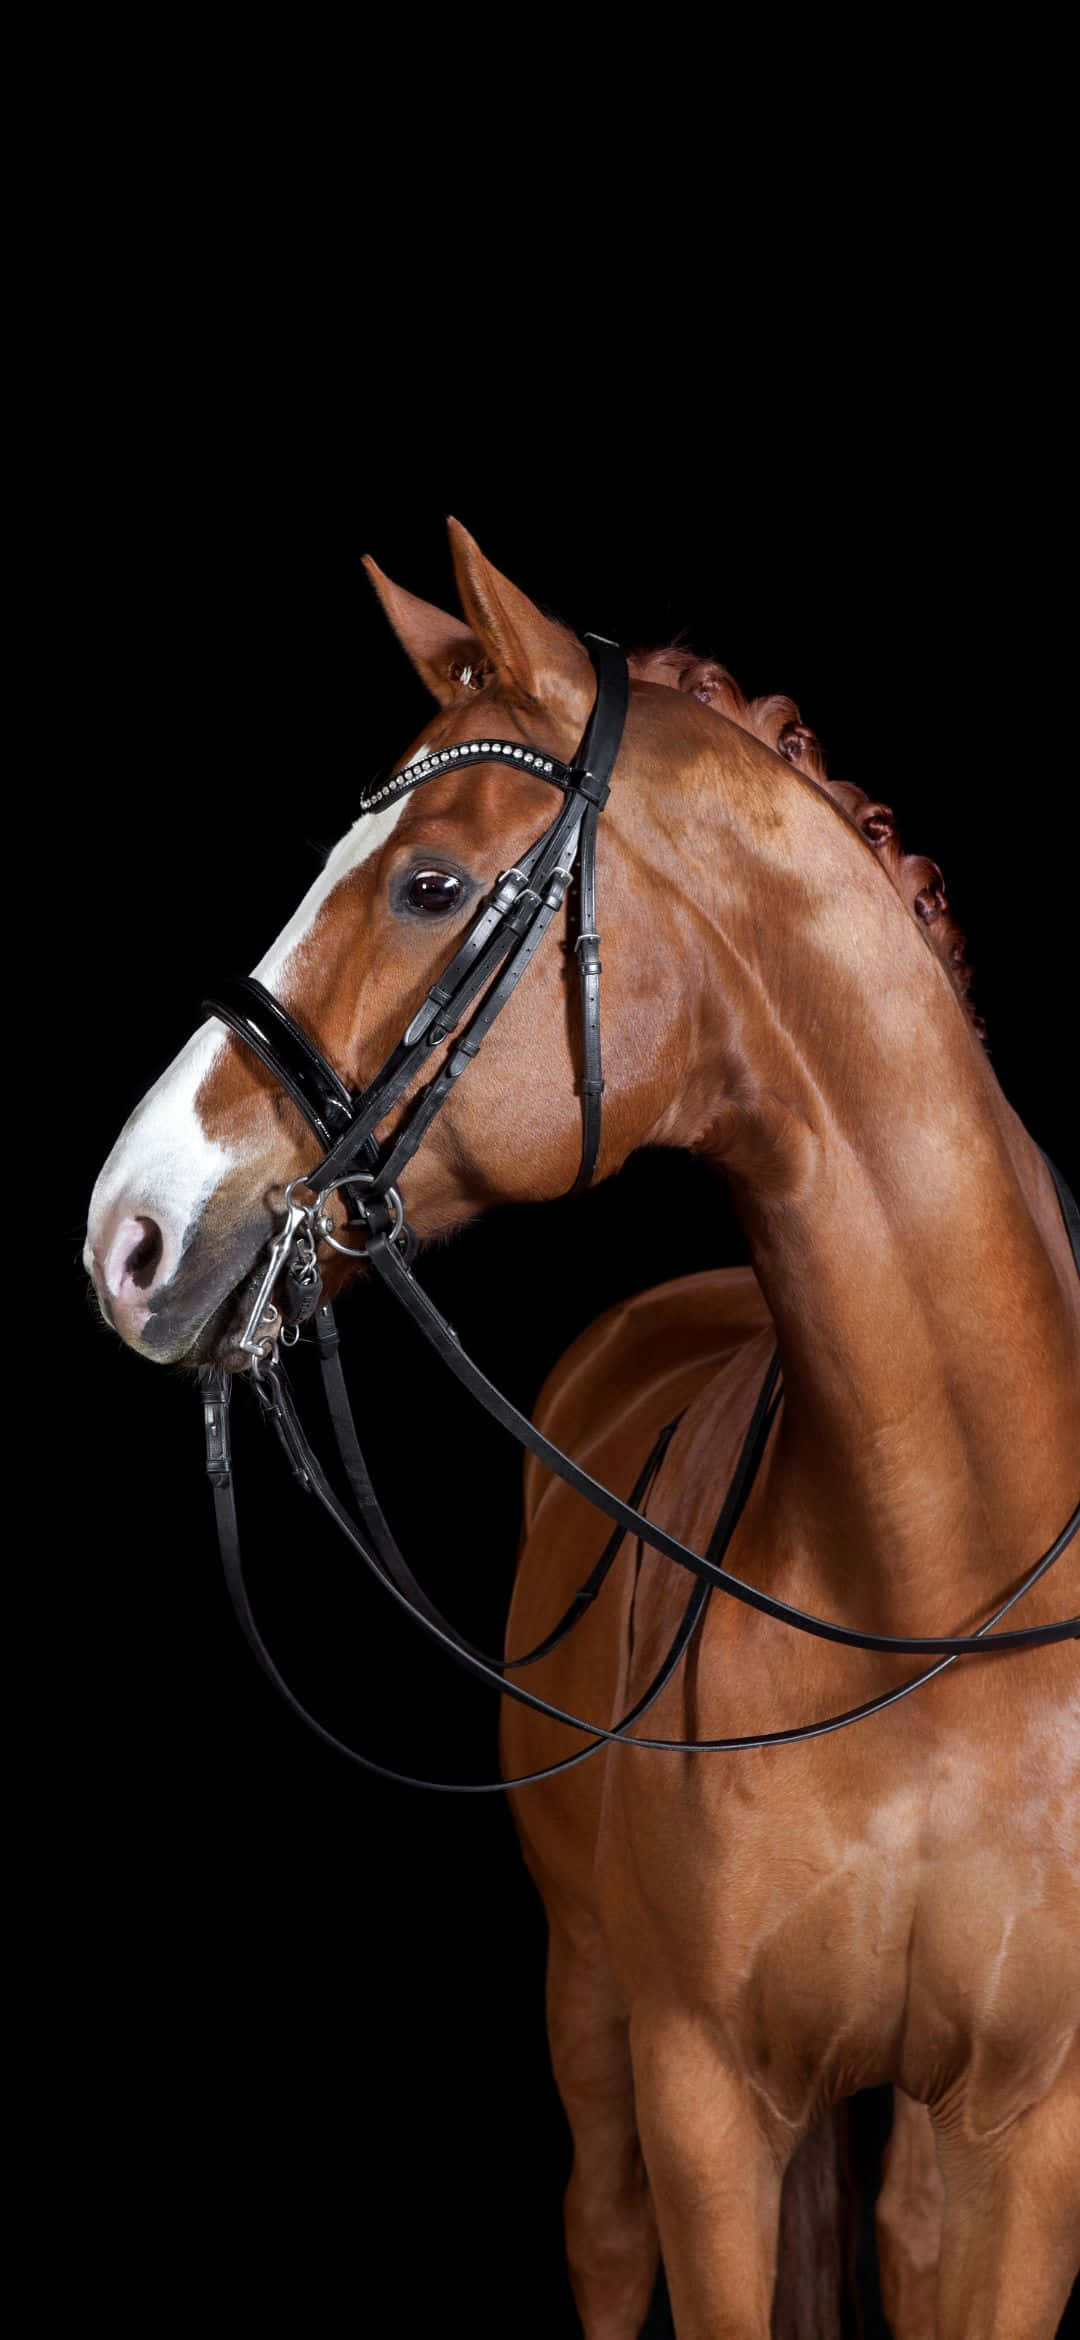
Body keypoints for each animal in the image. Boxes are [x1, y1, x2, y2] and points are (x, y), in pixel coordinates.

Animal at [84, 517, 1079, 2338]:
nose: (128, 1232)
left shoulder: (1022, 2136)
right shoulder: (705, 2103)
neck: (932, 1589)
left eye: (429, 884)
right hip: (592, 2016)